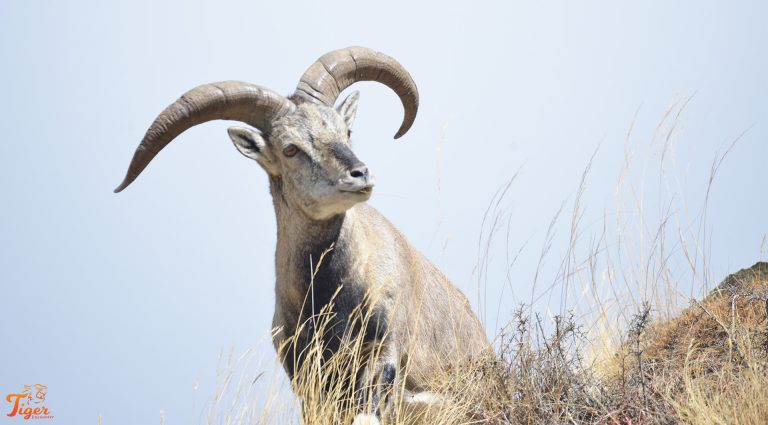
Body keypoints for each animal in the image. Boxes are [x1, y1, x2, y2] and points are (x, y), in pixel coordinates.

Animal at [115, 46, 490, 423]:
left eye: (346, 131)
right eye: (290, 148)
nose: (359, 174)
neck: (330, 291)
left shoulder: (384, 349)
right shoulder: (304, 373)